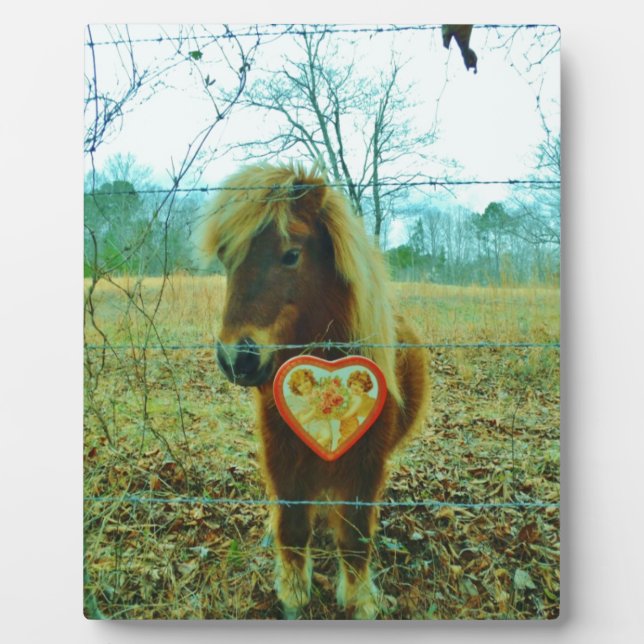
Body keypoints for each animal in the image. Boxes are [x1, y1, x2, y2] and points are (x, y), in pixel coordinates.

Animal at [200, 163, 430, 619]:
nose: (237, 358)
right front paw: (292, 594)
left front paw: (360, 600)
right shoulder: (282, 456)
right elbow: (291, 526)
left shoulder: (365, 465)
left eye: (291, 254)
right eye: (225, 258)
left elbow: (355, 538)